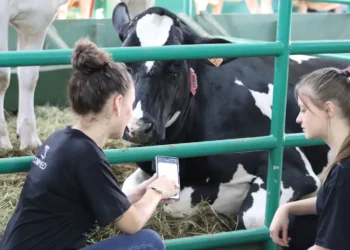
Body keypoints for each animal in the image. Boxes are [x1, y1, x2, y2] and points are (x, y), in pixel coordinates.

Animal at [111, 2, 344, 230]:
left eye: (175, 63)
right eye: (125, 63)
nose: (137, 127)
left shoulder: (295, 170)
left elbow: (252, 219)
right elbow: (129, 188)